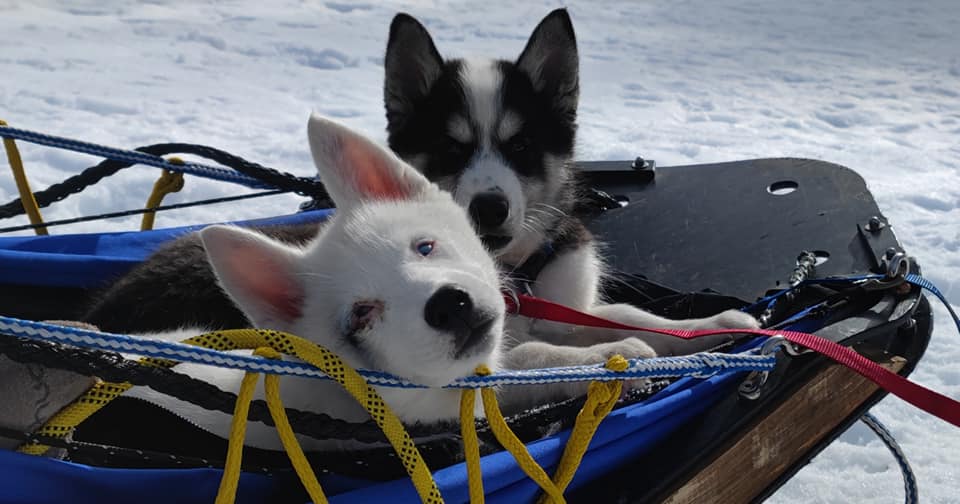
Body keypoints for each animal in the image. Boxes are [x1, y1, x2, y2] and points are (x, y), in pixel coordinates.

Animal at [382, 7, 756, 358]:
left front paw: (710, 325)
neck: (518, 280)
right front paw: (613, 355)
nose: (489, 208)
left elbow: (624, 314)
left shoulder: (567, 310)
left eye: (521, 145)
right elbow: (533, 353)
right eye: (450, 149)